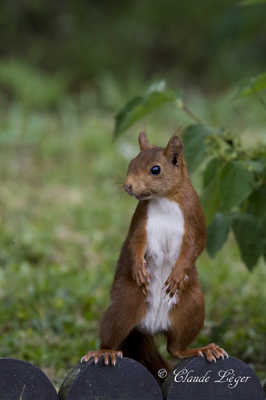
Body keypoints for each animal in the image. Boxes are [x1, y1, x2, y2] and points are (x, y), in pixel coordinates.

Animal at [82, 132, 228, 382]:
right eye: (131, 163)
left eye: (155, 169)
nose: (128, 186)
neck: (164, 199)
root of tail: (150, 327)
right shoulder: (141, 222)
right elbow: (135, 244)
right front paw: (139, 269)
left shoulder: (194, 219)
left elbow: (195, 246)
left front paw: (177, 274)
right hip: (124, 304)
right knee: (111, 335)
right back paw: (104, 352)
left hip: (192, 308)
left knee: (175, 348)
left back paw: (202, 349)